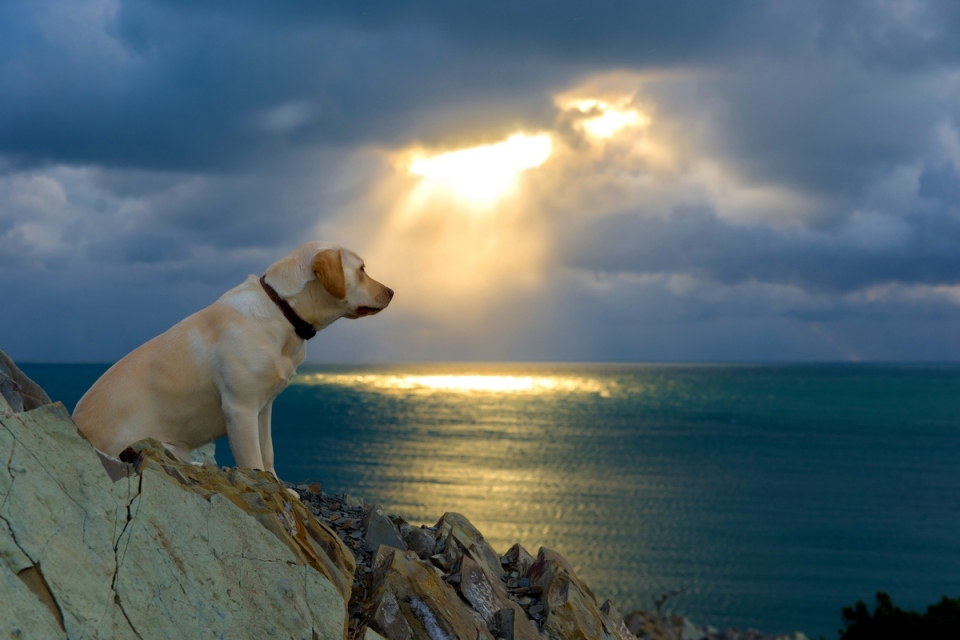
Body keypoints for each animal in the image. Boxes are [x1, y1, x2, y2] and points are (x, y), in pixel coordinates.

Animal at [70, 241, 394, 490]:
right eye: (362, 269)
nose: (392, 291)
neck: (282, 310)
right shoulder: (241, 409)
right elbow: (253, 460)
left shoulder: (263, 409)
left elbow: (268, 454)